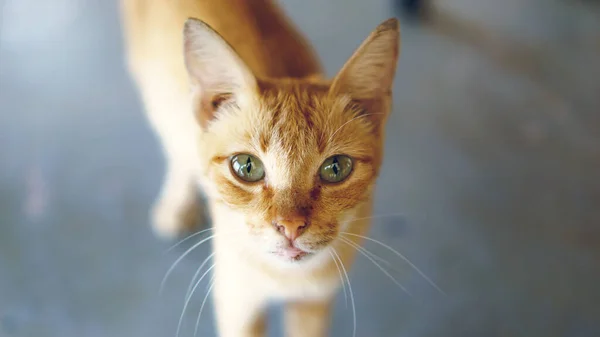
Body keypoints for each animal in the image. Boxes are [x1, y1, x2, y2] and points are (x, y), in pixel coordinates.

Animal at [120, 1, 400, 334]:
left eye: (335, 168)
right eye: (246, 166)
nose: (290, 226)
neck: (284, 278)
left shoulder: (314, 302)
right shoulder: (236, 303)